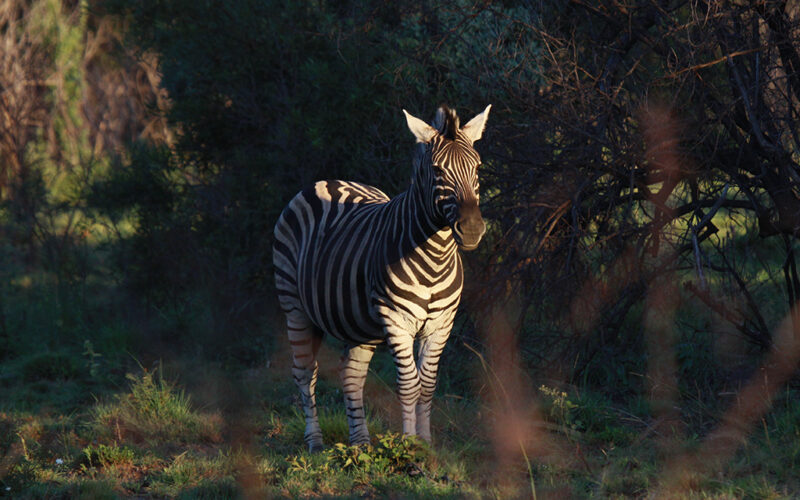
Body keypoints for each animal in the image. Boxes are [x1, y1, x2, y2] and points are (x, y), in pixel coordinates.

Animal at [273, 104, 491, 451]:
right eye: (437, 170)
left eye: (478, 167)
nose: (471, 229)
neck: (437, 255)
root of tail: (328, 180)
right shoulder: (397, 321)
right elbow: (409, 384)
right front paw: (409, 445)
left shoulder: (441, 325)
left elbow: (428, 385)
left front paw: (426, 444)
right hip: (294, 307)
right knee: (305, 372)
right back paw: (315, 441)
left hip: (359, 323)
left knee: (351, 373)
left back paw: (361, 442)